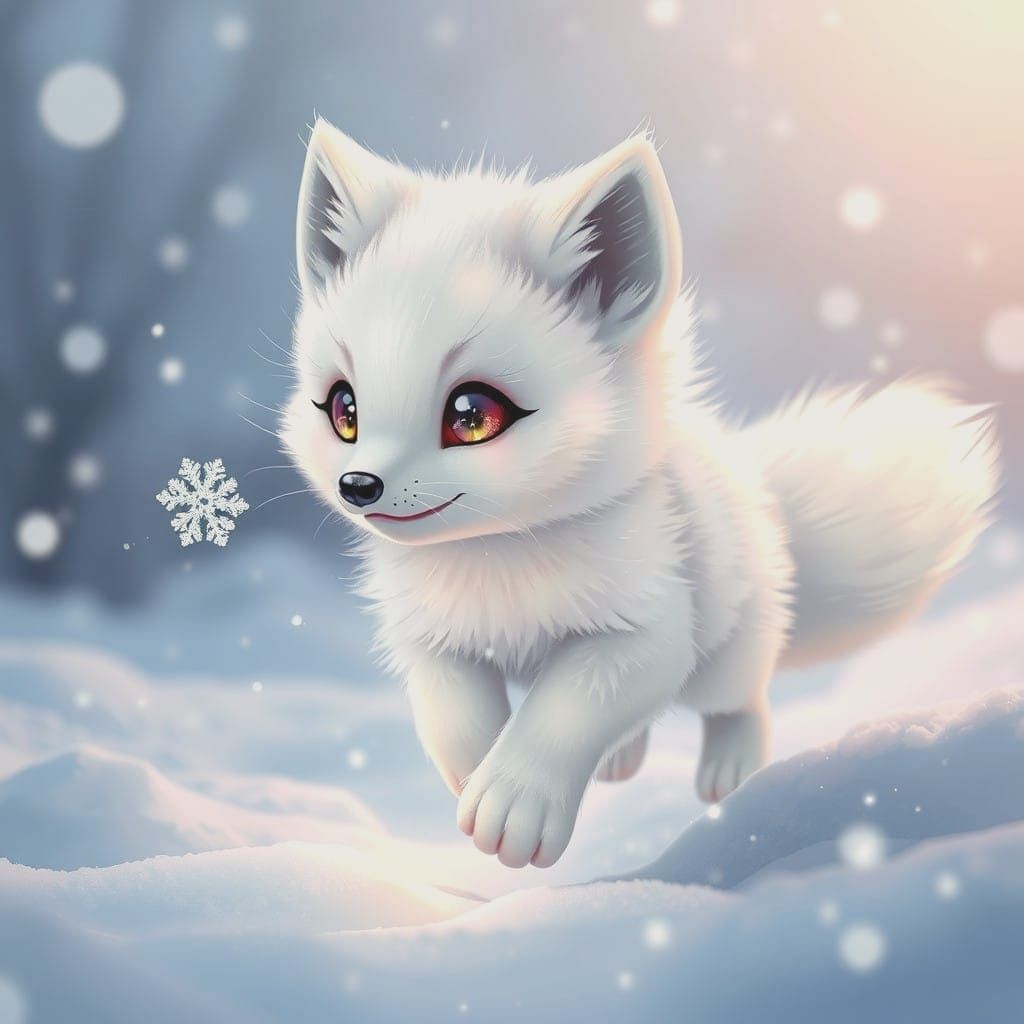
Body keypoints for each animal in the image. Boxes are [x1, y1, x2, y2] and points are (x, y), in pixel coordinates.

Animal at [281, 119, 999, 869]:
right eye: (343, 409)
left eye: (472, 414)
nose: (358, 485)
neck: (496, 566)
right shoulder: (429, 637)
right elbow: (453, 711)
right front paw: (474, 772)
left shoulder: (651, 630)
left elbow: (567, 705)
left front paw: (514, 800)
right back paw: (623, 757)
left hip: (728, 647)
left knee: (742, 697)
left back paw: (730, 768)